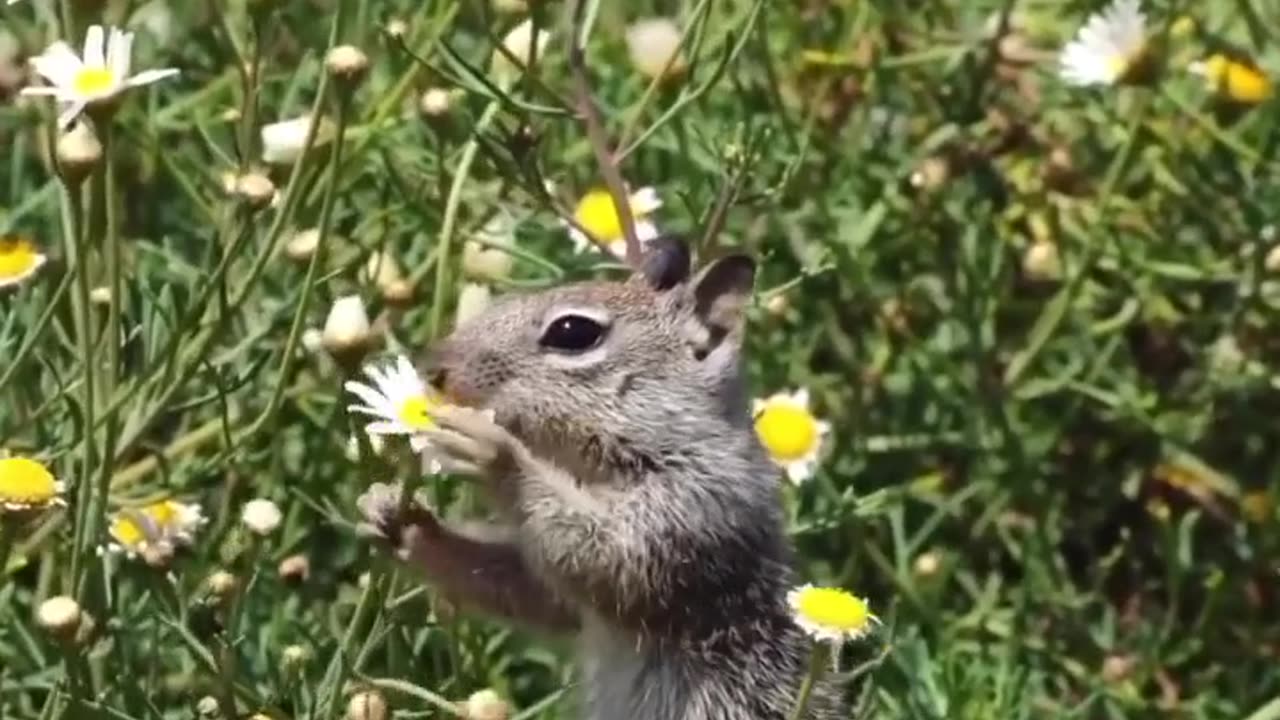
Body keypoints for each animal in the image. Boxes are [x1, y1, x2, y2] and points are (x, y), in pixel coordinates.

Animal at [355, 237, 844, 717]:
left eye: (573, 332)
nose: (430, 368)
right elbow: (532, 587)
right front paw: (397, 517)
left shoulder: (694, 512)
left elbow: (606, 556)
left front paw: (495, 452)